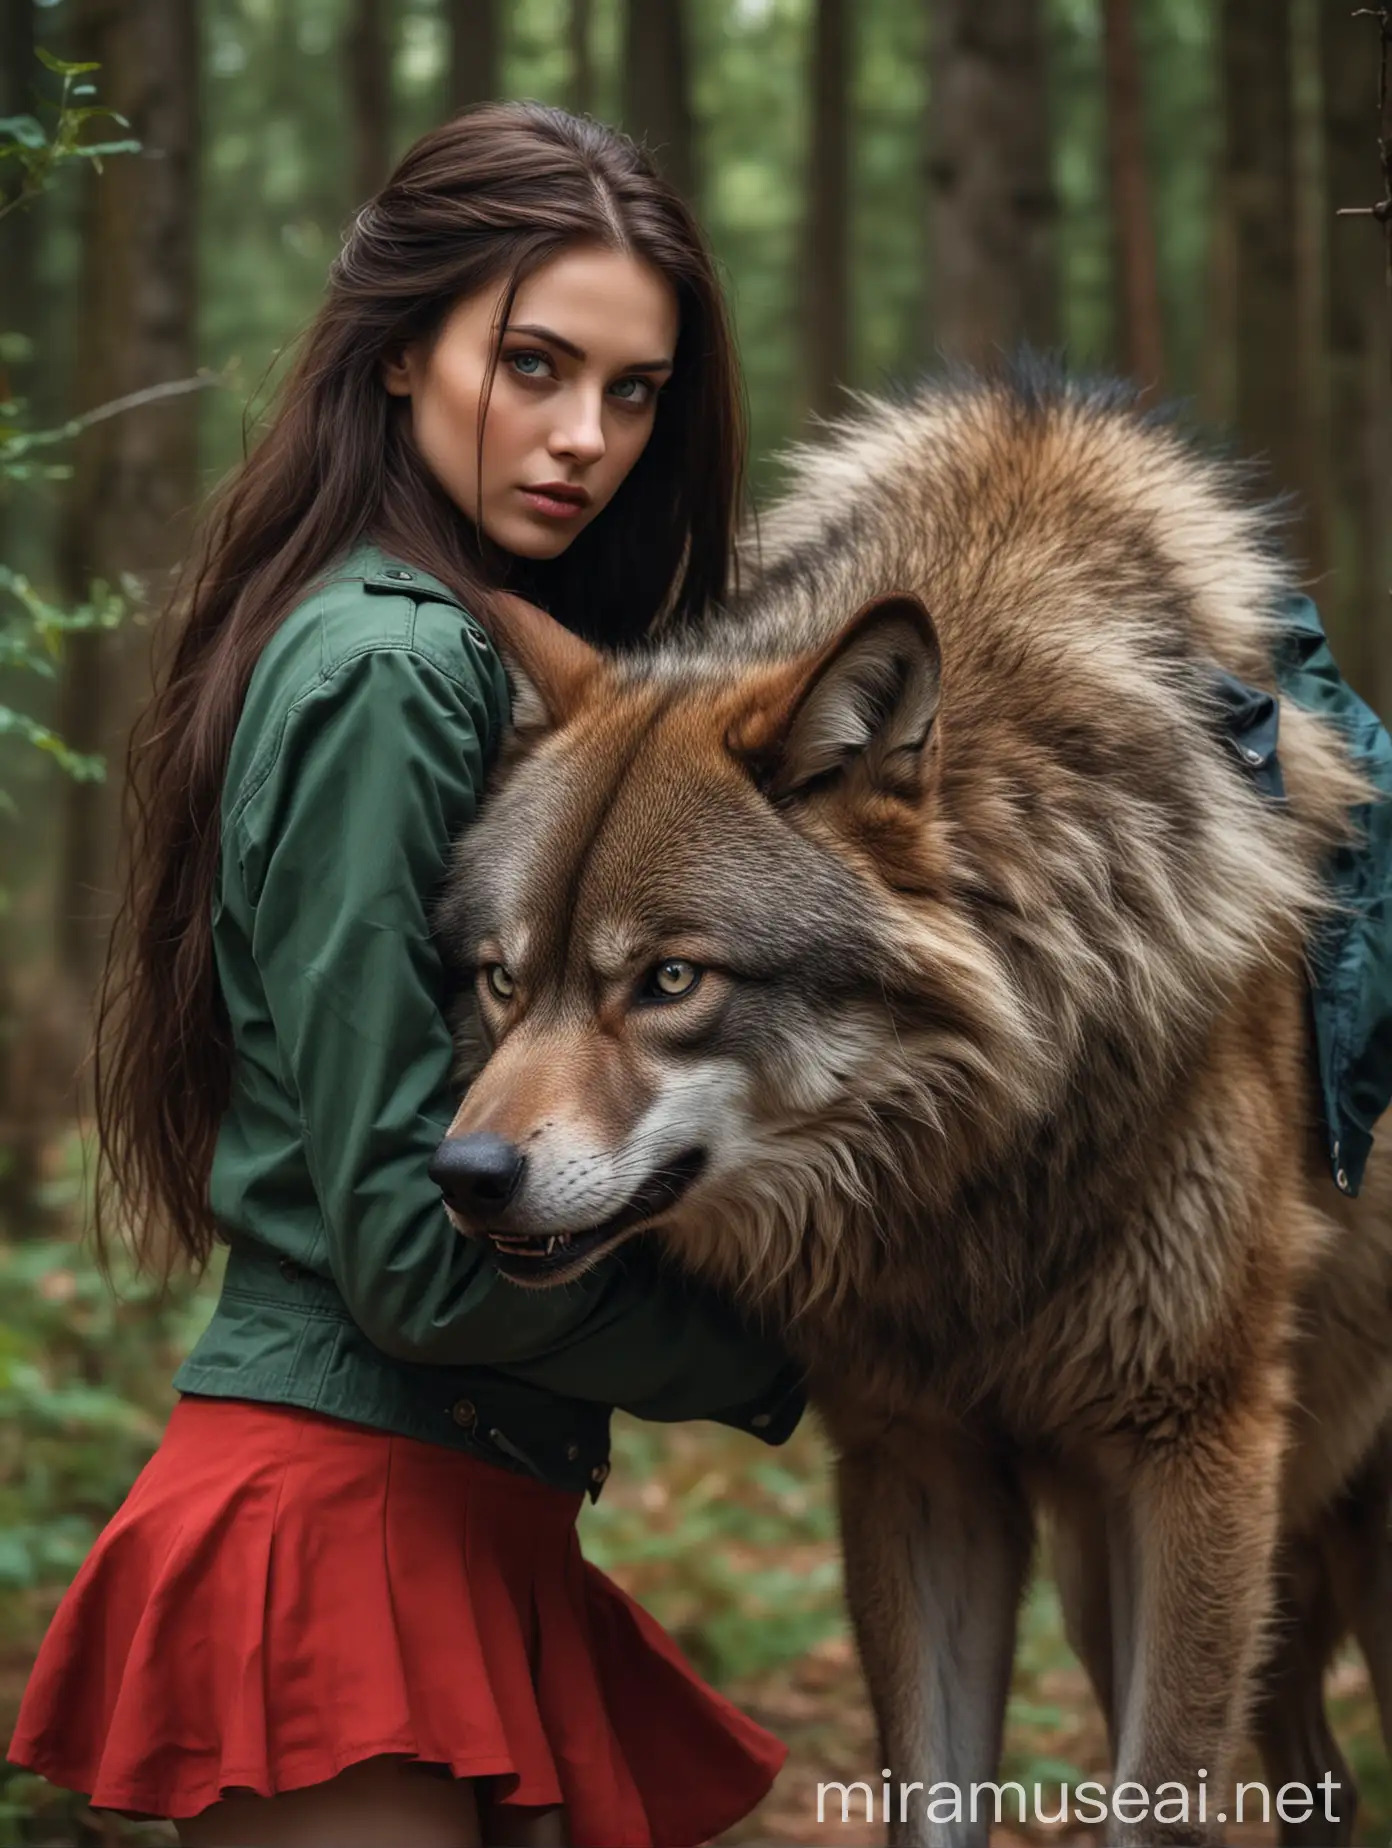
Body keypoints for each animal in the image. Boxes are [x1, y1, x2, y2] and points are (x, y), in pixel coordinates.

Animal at [428, 367, 1390, 1840]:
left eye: (669, 979)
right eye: (501, 978)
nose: (465, 1175)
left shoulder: (1199, 1450)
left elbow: (1156, 1798)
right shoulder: (914, 1461)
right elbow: (932, 1796)